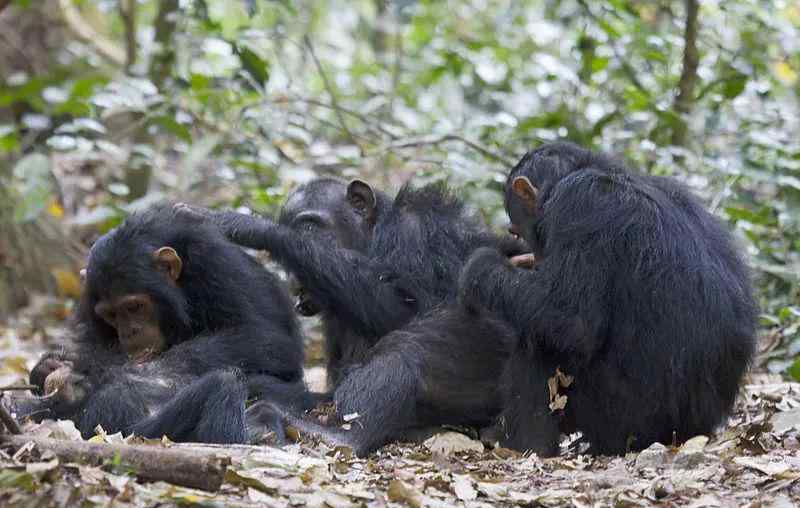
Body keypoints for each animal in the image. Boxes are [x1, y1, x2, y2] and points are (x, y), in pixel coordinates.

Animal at [19, 204, 306, 442]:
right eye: (110, 315)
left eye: (134, 307)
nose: (130, 332)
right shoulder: (91, 296)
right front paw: (48, 367)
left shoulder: (216, 264)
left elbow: (266, 337)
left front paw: (123, 371)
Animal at [177, 180, 524, 456]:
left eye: (308, 227)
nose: (294, 282)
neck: (375, 237)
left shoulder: (418, 234)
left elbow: (415, 305)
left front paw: (250, 226)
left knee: (409, 346)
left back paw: (337, 436)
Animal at [456, 143, 756, 456]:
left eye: (516, 230)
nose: (535, 255)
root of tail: (690, 432)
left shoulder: (577, 205)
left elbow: (570, 320)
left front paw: (481, 266)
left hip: (625, 420)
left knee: (538, 342)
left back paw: (523, 445)